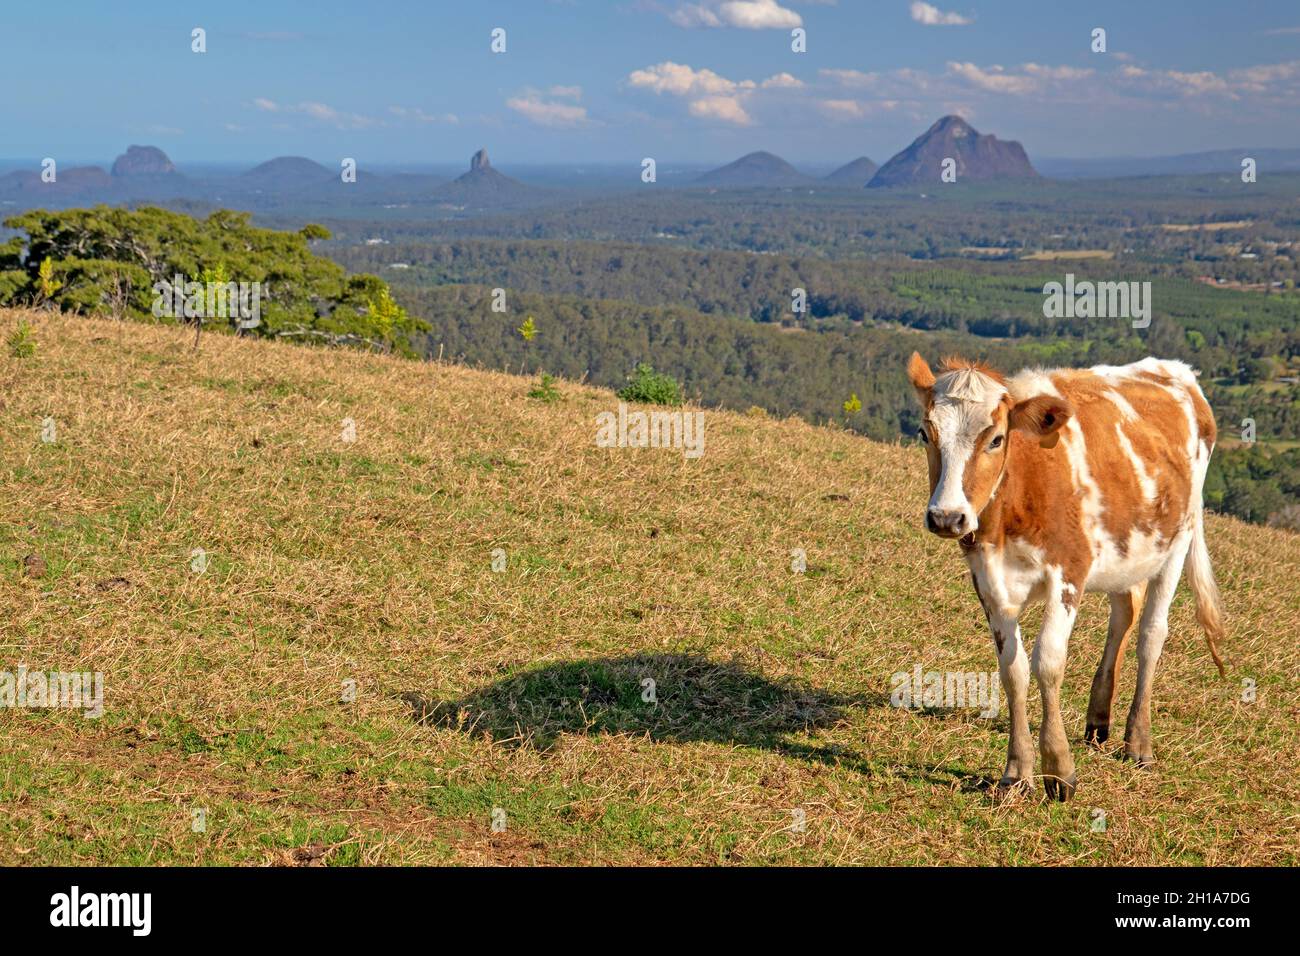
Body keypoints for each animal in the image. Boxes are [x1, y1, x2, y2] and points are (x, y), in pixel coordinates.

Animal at [905, 353, 1226, 801]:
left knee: (1151, 634)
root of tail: (1174, 369)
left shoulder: (1069, 571)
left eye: (996, 439)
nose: (947, 517)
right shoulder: (987, 578)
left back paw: (1138, 742)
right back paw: (1098, 722)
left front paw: (1058, 770)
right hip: (1125, 552)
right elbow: (1013, 669)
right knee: (1125, 613)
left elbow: (1048, 662)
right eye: (925, 433)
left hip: (1177, 542)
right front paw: (1016, 773)